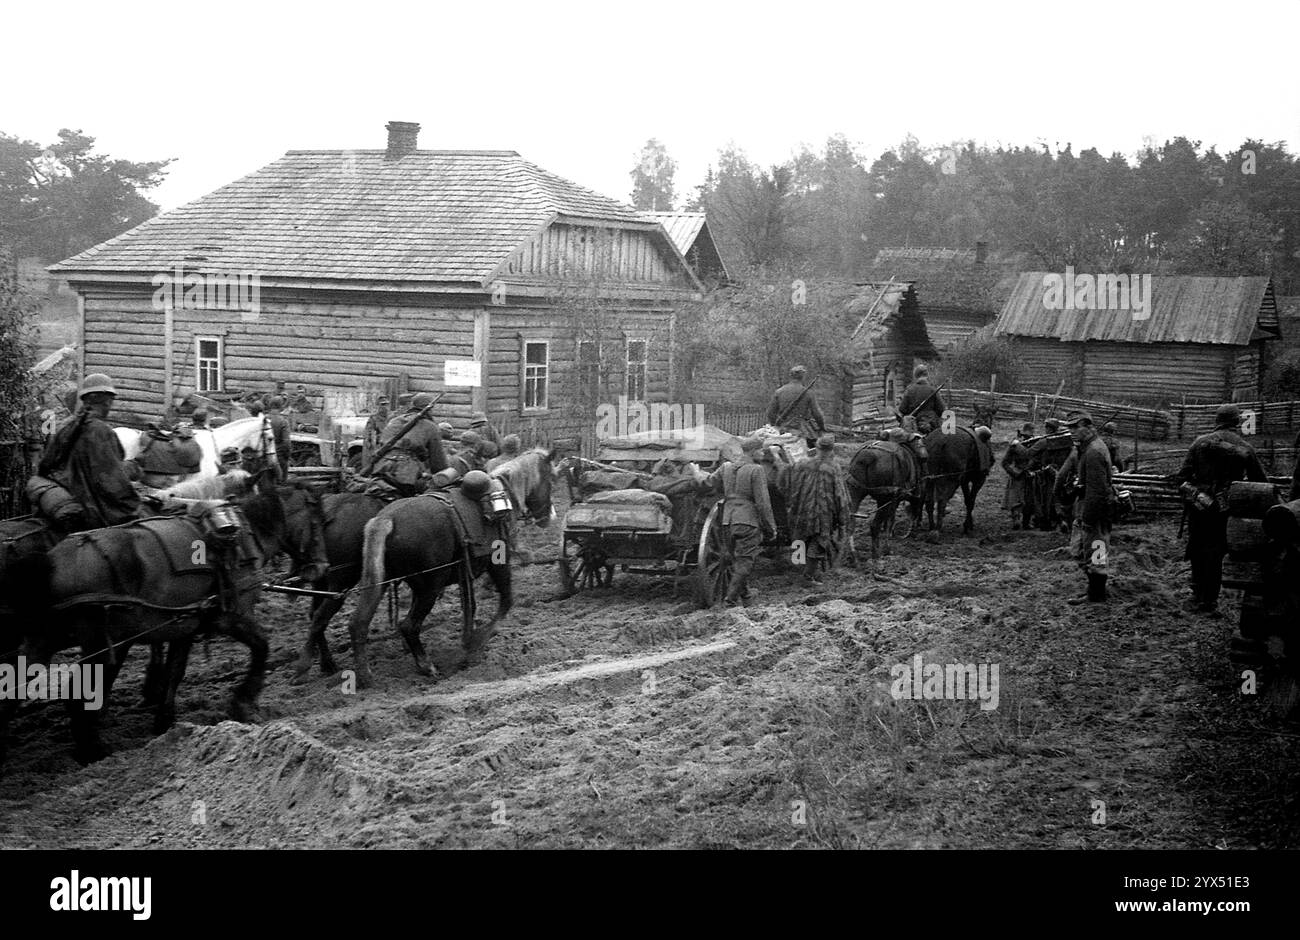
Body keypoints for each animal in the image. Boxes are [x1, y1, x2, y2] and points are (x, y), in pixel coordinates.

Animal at [3, 481, 327, 769]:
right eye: (318, 520)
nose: (322, 567)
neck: (244, 536)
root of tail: (53, 561)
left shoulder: (185, 626)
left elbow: (175, 671)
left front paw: (165, 721)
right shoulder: (230, 616)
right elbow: (261, 646)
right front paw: (244, 702)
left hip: (45, 640)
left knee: (13, 687)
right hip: (103, 644)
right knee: (77, 693)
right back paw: (93, 750)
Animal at [340, 444, 553, 686]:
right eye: (550, 479)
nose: (548, 516)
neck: (502, 496)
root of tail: (386, 520)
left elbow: (472, 606)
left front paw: (469, 637)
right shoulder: (499, 562)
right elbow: (506, 602)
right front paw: (476, 642)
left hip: (385, 583)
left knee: (358, 623)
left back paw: (365, 675)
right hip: (430, 587)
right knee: (408, 626)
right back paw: (426, 665)